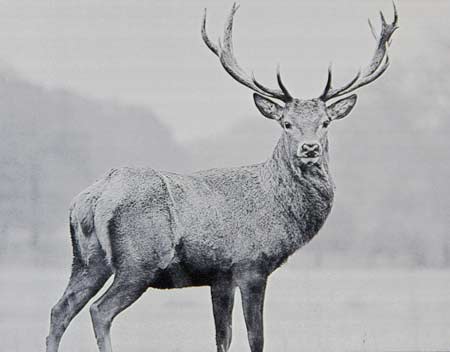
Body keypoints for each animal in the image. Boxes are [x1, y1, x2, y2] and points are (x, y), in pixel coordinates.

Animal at [45, 2, 398, 352]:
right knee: (99, 311)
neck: (280, 210)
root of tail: (92, 198)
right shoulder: (250, 264)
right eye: (286, 123)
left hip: (87, 260)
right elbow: (256, 338)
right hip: (139, 260)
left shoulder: (220, 276)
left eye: (325, 122)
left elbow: (222, 337)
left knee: (60, 309)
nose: (309, 148)